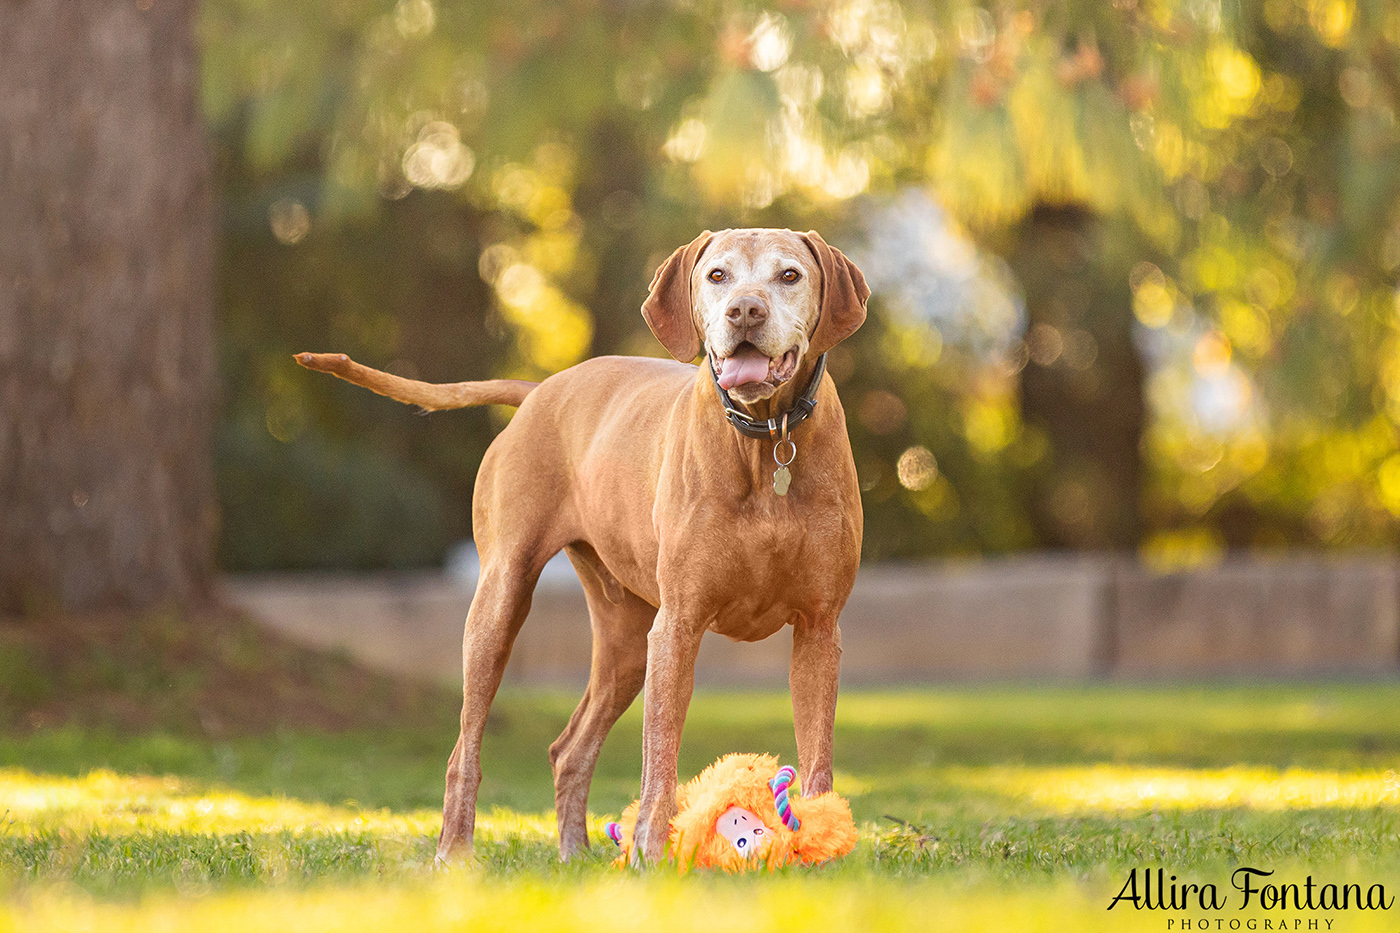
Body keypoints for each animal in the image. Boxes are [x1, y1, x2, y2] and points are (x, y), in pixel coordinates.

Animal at [294, 226, 862, 862]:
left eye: (789, 275)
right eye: (717, 275)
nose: (744, 310)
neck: (767, 441)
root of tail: (542, 388)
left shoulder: (818, 629)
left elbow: (818, 758)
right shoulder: (679, 626)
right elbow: (659, 762)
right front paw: (650, 856)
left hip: (627, 642)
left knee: (570, 748)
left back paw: (573, 857)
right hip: (504, 601)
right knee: (465, 747)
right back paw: (455, 853)